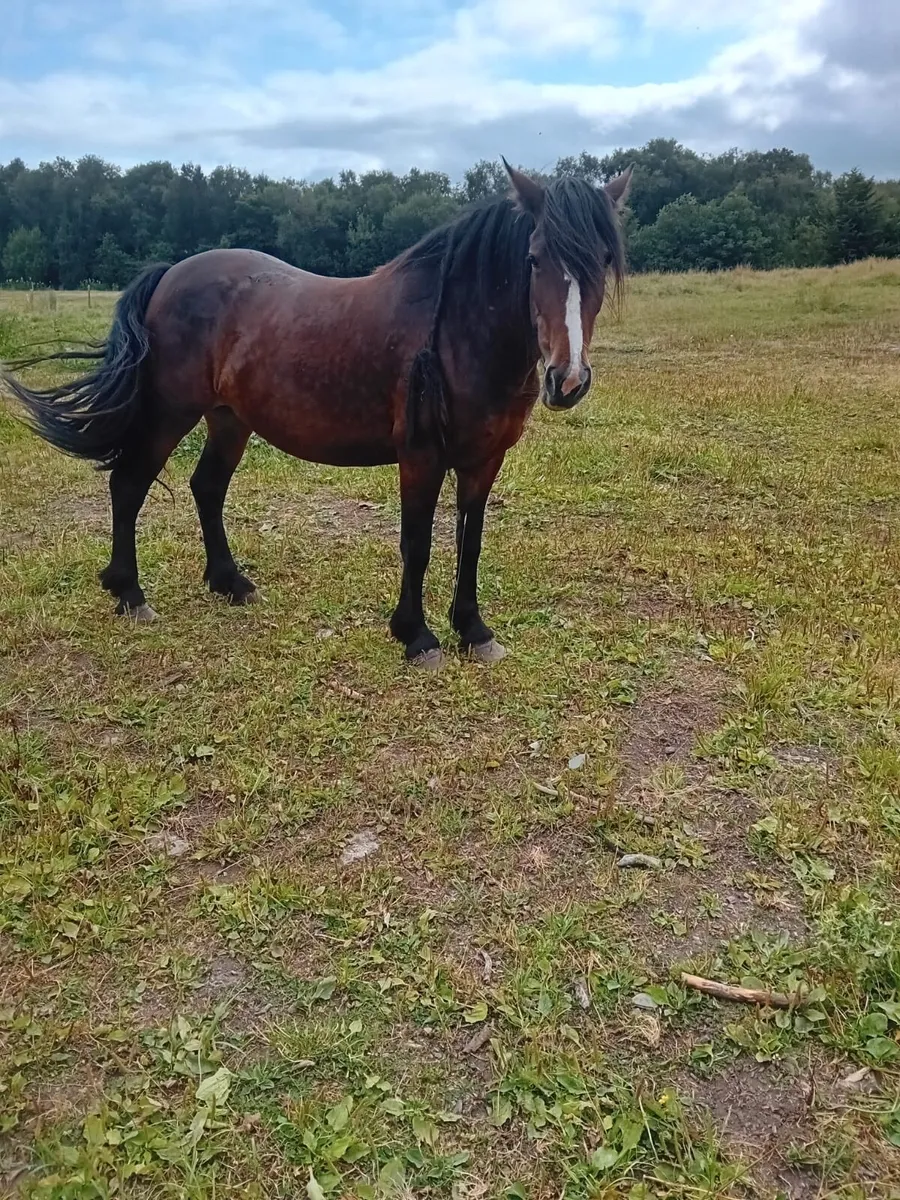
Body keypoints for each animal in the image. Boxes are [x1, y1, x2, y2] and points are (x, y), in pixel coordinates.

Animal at [2, 160, 631, 668]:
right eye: (534, 259)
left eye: (603, 260)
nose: (567, 380)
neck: (458, 330)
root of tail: (170, 275)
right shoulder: (421, 456)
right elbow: (417, 541)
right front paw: (417, 637)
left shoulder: (485, 459)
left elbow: (469, 541)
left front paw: (474, 631)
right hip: (168, 413)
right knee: (129, 485)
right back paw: (130, 594)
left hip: (229, 419)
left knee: (206, 488)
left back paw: (230, 583)